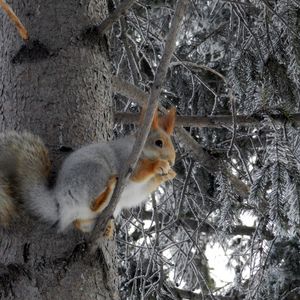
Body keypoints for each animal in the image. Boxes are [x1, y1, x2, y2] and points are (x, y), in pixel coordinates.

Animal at [0, 109, 176, 233]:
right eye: (158, 142)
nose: (173, 160)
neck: (141, 150)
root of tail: (61, 204)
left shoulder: (140, 189)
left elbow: (142, 190)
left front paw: (168, 175)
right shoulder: (125, 158)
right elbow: (137, 173)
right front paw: (158, 165)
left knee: (80, 223)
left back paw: (106, 228)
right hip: (94, 174)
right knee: (92, 205)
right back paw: (106, 195)